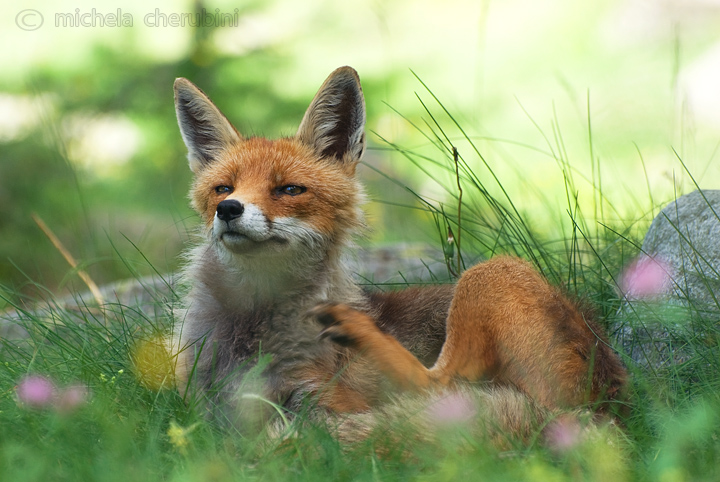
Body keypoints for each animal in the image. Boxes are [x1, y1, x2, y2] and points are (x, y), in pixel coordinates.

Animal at [172, 67, 628, 440]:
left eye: (289, 189)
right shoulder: (204, 408)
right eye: (223, 188)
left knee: (440, 384)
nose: (229, 210)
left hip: (490, 273)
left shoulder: (326, 400)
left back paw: (360, 331)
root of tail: (612, 397)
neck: (251, 332)